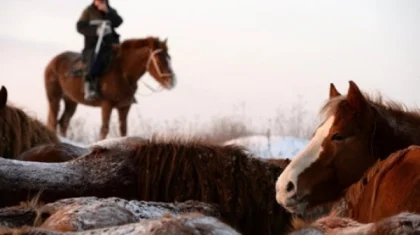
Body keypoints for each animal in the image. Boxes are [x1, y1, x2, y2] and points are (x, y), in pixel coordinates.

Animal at [45, 35, 176, 140]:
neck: (122, 71)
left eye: (169, 57)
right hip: (54, 99)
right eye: (158, 60)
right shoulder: (106, 105)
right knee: (53, 122)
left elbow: (123, 130)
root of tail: (52, 62)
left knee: (63, 122)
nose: (171, 81)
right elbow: (104, 129)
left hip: (71, 101)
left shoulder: (124, 107)